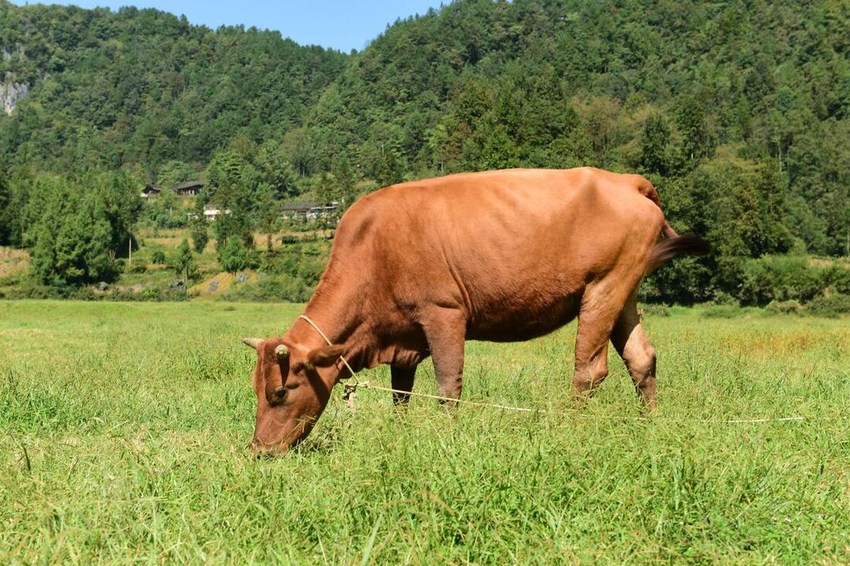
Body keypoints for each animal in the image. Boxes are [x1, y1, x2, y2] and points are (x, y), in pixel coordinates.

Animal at [242, 168, 704, 458]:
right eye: (256, 391)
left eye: (280, 392)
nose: (259, 451)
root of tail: (625, 181)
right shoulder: (402, 335)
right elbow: (401, 393)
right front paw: (400, 433)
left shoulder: (443, 313)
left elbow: (448, 386)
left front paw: (444, 437)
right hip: (624, 289)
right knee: (641, 357)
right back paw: (648, 425)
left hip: (603, 287)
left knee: (589, 369)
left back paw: (569, 430)